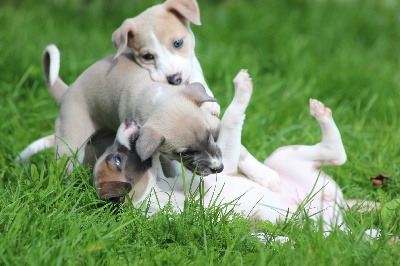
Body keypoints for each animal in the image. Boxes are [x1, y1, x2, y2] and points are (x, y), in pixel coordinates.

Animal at [95, 70, 348, 231]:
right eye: (116, 160)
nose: (128, 121)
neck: (161, 192)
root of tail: (339, 204)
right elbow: (232, 117)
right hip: (324, 225)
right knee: (337, 154)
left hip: (281, 157)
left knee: (335, 152)